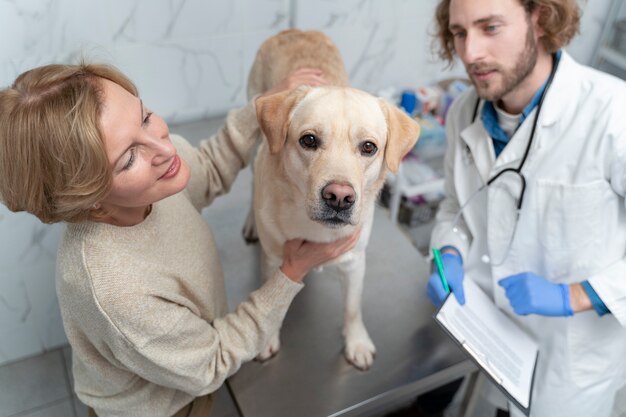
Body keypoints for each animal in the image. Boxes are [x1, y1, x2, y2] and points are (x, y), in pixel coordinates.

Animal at [245, 29, 420, 368]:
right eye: (309, 140)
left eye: (369, 147)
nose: (339, 197)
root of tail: (293, 31)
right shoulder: (272, 260)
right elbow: (270, 307)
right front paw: (267, 340)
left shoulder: (354, 262)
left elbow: (352, 308)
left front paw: (357, 342)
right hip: (253, 140)